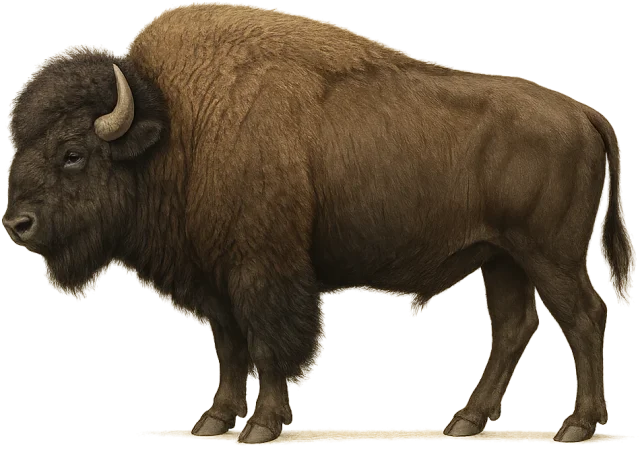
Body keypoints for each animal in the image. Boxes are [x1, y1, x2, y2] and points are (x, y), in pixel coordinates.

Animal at [2, 3, 631, 444]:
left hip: (548, 256)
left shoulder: (262, 270)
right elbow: (230, 346)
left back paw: (576, 426)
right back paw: (467, 421)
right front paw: (214, 420)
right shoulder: (215, 280)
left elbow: (267, 346)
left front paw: (261, 426)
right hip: (501, 259)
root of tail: (583, 112)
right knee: (513, 326)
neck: (180, 129)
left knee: (583, 318)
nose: (17, 224)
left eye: (72, 153)